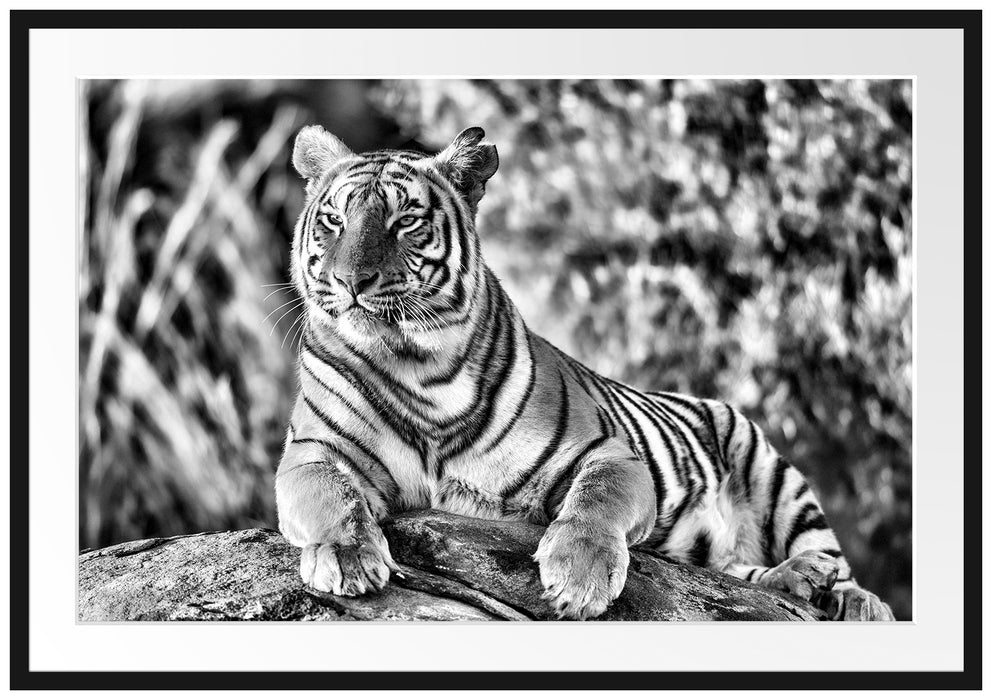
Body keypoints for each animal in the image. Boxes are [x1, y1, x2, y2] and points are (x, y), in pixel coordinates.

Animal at [274, 124, 895, 621]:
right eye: (334, 221)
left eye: (405, 221)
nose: (352, 280)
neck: (414, 367)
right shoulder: (311, 452)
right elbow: (331, 495)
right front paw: (349, 559)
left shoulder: (607, 451)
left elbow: (597, 499)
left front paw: (580, 574)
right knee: (735, 574)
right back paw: (798, 582)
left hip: (772, 470)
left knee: (830, 558)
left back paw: (847, 596)